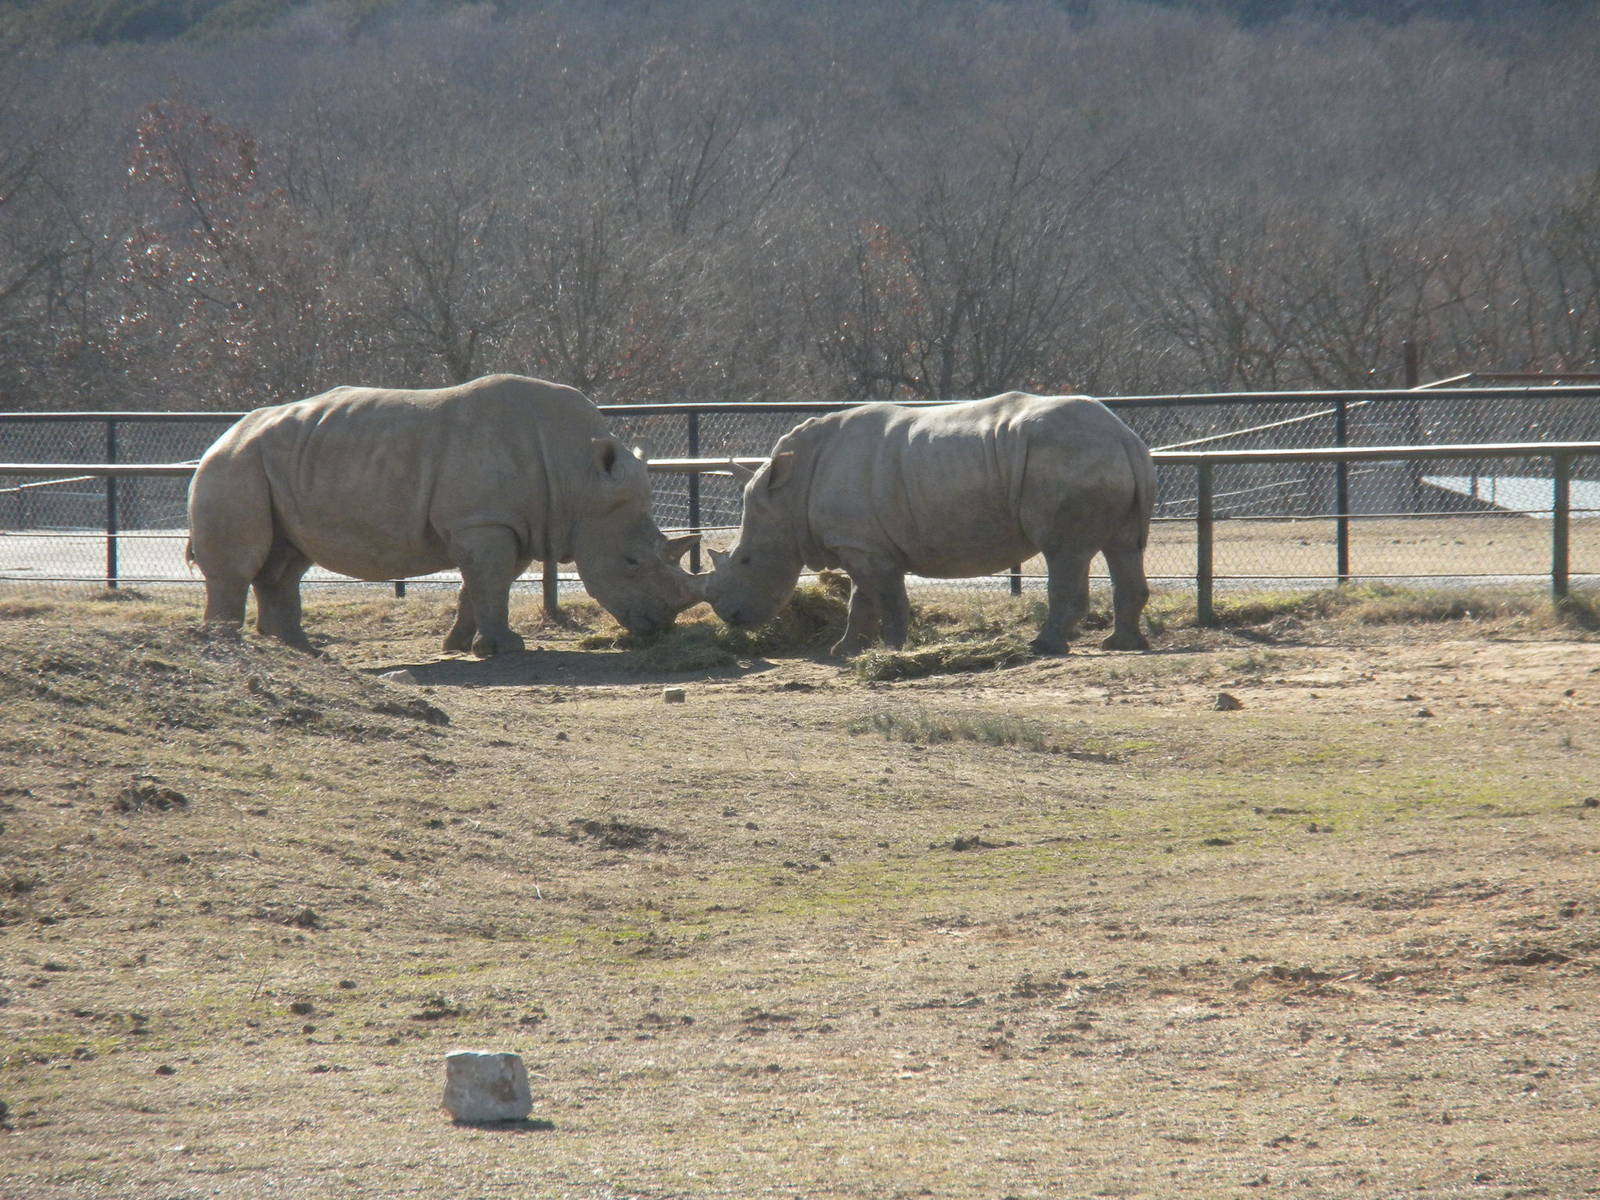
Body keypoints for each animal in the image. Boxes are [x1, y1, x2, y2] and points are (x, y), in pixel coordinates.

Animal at [186, 373, 701, 655]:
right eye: (631, 562)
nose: (661, 626)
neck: (580, 477)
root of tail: (226, 433)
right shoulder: (484, 521)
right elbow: (490, 583)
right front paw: (504, 650)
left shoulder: (508, 522)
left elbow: (485, 584)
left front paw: (457, 646)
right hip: (233, 466)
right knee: (241, 565)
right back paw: (229, 645)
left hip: (279, 466)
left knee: (287, 561)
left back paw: (300, 652)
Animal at [703, 392, 1154, 657]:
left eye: (744, 561)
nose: (729, 617)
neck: (789, 496)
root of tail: (1124, 436)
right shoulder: (865, 546)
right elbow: (862, 599)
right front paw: (844, 652)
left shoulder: (863, 547)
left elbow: (882, 598)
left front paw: (891, 649)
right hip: (1097, 455)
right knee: (1123, 547)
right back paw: (1123, 644)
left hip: (1069, 459)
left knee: (1064, 553)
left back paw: (1043, 646)